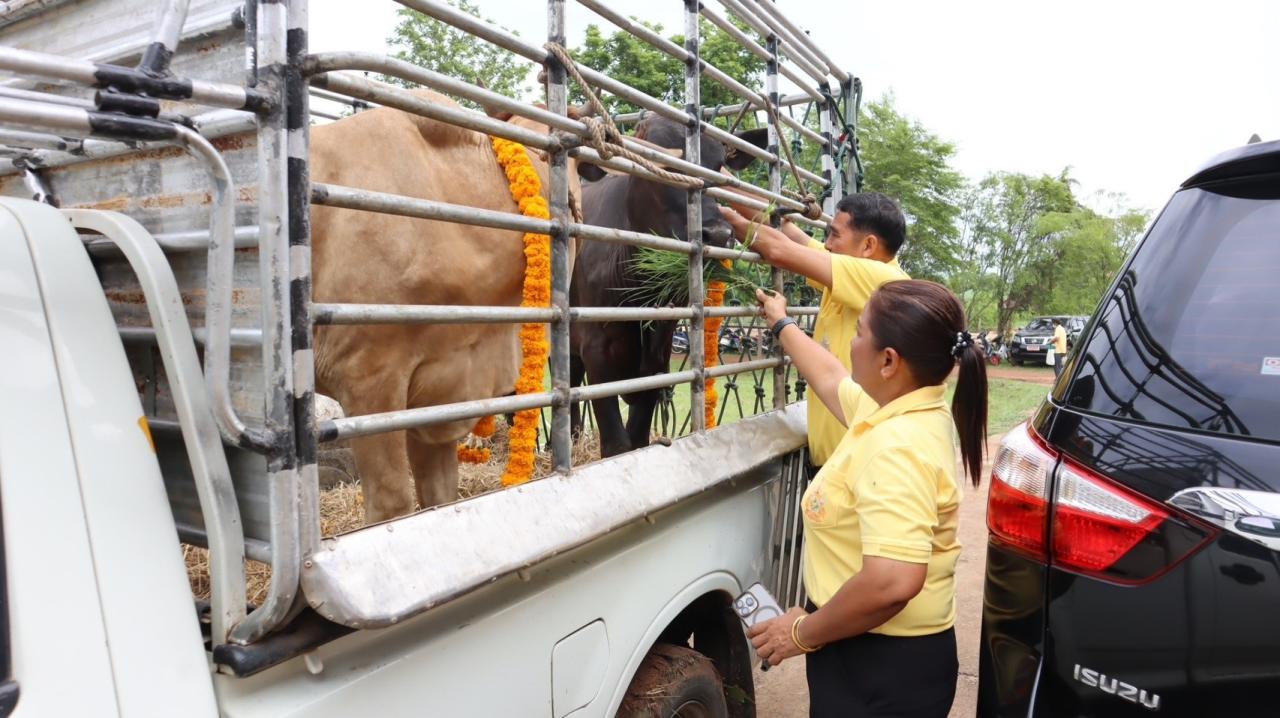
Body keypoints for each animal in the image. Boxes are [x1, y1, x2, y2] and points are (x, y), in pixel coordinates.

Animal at [573, 117, 768, 453]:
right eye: (660, 163)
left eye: (718, 167)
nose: (718, 234)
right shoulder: (597, 350)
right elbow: (617, 444)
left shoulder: (658, 354)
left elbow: (638, 436)